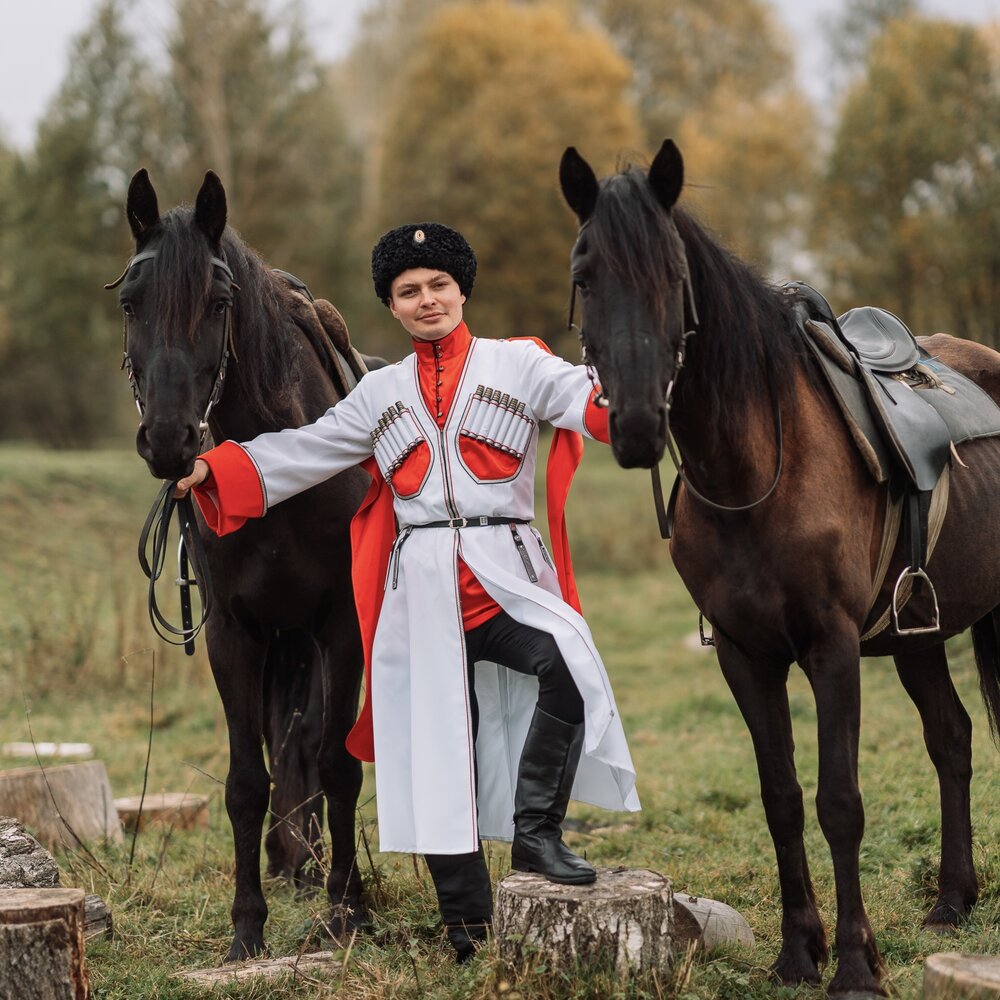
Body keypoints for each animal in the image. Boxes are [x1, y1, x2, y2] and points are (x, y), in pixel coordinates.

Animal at [110, 172, 376, 960]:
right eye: (130, 302)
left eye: (219, 303)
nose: (169, 439)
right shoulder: (235, 634)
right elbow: (246, 782)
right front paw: (247, 926)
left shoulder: (341, 625)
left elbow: (337, 761)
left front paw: (348, 911)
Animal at [560, 139, 1000, 992]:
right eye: (585, 273)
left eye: (673, 273)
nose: (636, 423)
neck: (753, 472)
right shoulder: (745, 654)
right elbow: (781, 797)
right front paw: (800, 951)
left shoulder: (833, 648)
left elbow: (840, 802)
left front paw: (857, 965)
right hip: (919, 635)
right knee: (952, 738)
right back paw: (951, 901)